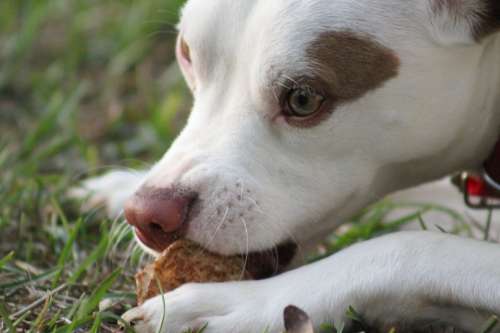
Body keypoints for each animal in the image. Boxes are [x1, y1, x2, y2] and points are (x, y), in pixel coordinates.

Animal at [72, 0, 500, 330]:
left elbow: (412, 247)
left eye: (303, 99)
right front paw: (119, 187)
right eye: (186, 54)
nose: (147, 215)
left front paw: (244, 303)